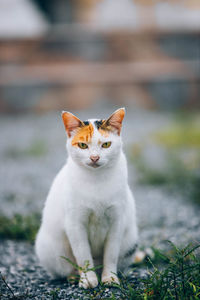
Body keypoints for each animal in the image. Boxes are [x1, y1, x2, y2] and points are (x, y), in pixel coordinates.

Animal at [35, 108, 138, 288]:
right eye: (83, 145)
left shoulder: (117, 220)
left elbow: (111, 254)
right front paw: (88, 279)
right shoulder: (75, 223)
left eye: (106, 144)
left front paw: (110, 278)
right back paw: (74, 277)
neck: (96, 180)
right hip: (49, 249)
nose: (94, 157)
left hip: (130, 242)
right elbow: (83, 255)